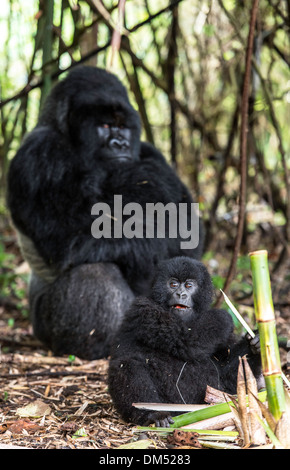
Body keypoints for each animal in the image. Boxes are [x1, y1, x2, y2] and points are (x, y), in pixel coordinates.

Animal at [6, 66, 202, 358]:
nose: (120, 144)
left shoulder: (151, 150)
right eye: (106, 126)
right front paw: (139, 179)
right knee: (95, 271)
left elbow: (188, 230)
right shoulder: (38, 154)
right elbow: (73, 238)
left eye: (122, 127)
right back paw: (98, 345)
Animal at [107, 258, 262, 426]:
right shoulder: (144, 308)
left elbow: (228, 378)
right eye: (173, 284)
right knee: (127, 364)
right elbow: (187, 341)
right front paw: (223, 316)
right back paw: (152, 413)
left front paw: (254, 344)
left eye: (189, 285)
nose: (180, 294)